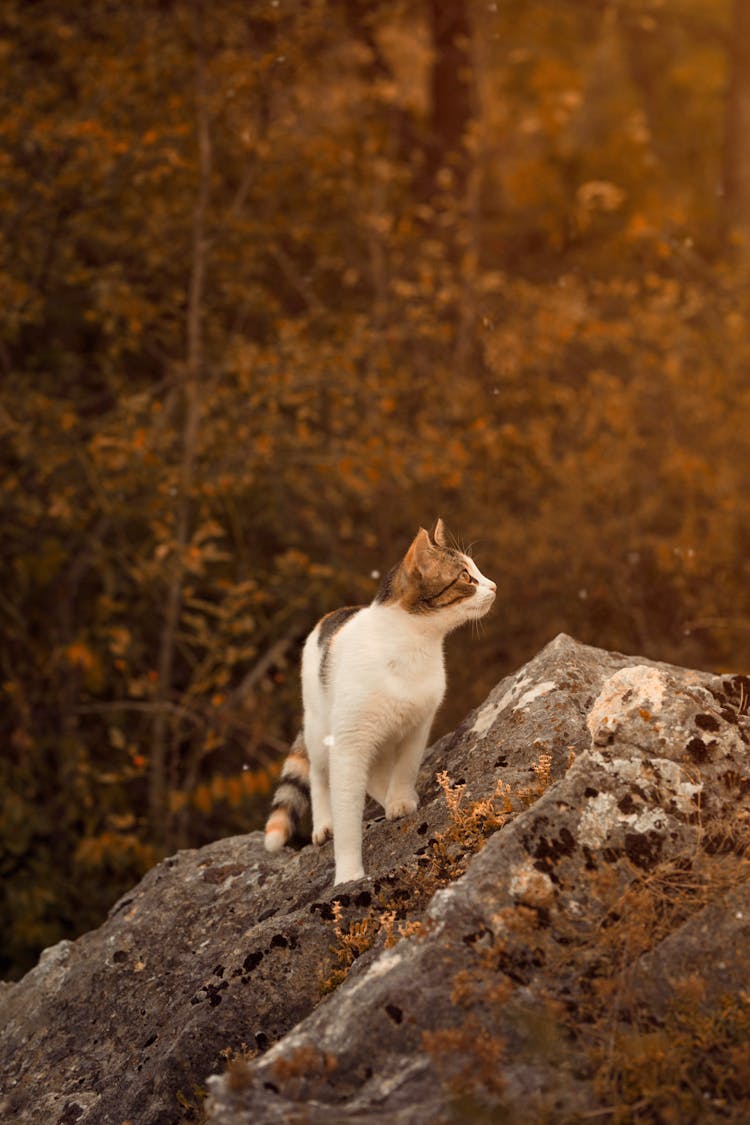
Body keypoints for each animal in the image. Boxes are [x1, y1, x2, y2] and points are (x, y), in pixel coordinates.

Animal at [264, 515, 499, 882]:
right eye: (466, 577)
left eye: (477, 571)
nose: (494, 586)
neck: (413, 645)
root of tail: (329, 615)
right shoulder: (349, 744)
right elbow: (347, 814)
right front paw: (348, 874)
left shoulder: (418, 723)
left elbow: (404, 767)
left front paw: (400, 800)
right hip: (321, 728)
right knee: (318, 775)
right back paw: (324, 824)